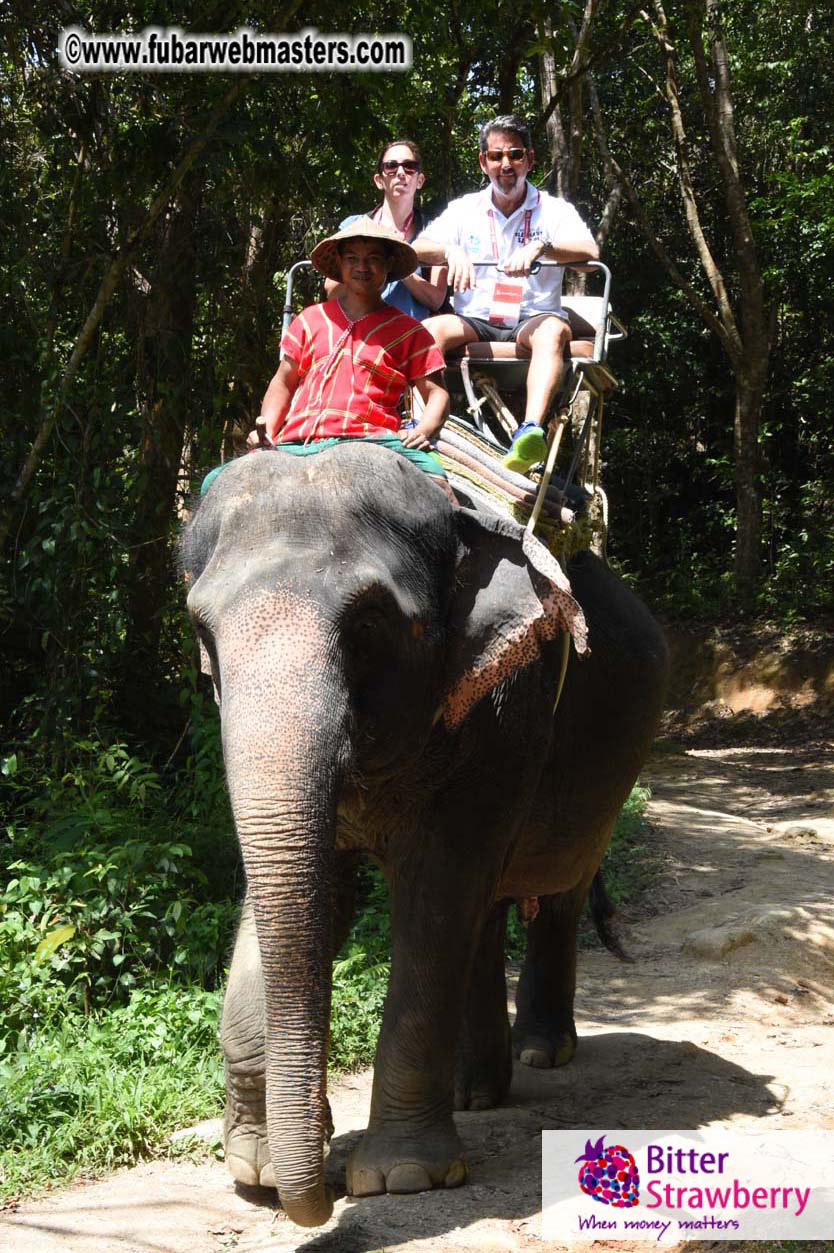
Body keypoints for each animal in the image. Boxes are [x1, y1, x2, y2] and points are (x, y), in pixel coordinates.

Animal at [180, 442, 668, 1228]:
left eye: (369, 624)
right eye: (202, 630)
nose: (322, 1194)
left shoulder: (505, 705)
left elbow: (435, 895)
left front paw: (402, 1178)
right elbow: (303, 893)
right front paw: (254, 1170)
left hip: (616, 766)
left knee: (551, 891)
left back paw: (541, 1054)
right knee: (487, 907)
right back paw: (477, 1093)